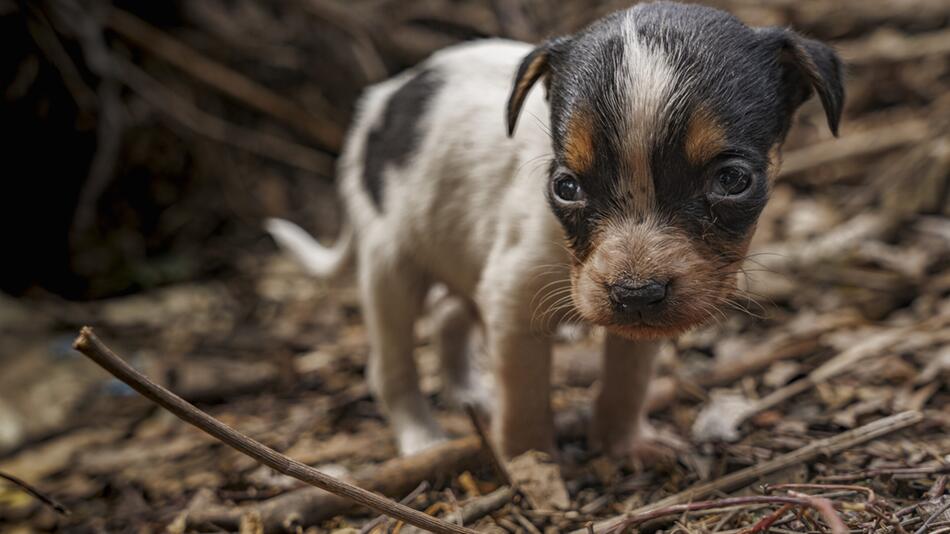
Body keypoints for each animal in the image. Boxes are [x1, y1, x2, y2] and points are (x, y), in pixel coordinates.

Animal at [266, 0, 840, 462]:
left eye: (732, 180)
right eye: (566, 186)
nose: (636, 293)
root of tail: (377, 104)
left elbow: (628, 379)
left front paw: (622, 444)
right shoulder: (513, 302)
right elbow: (524, 399)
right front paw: (530, 464)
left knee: (449, 315)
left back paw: (469, 393)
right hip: (390, 264)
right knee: (391, 366)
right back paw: (421, 437)